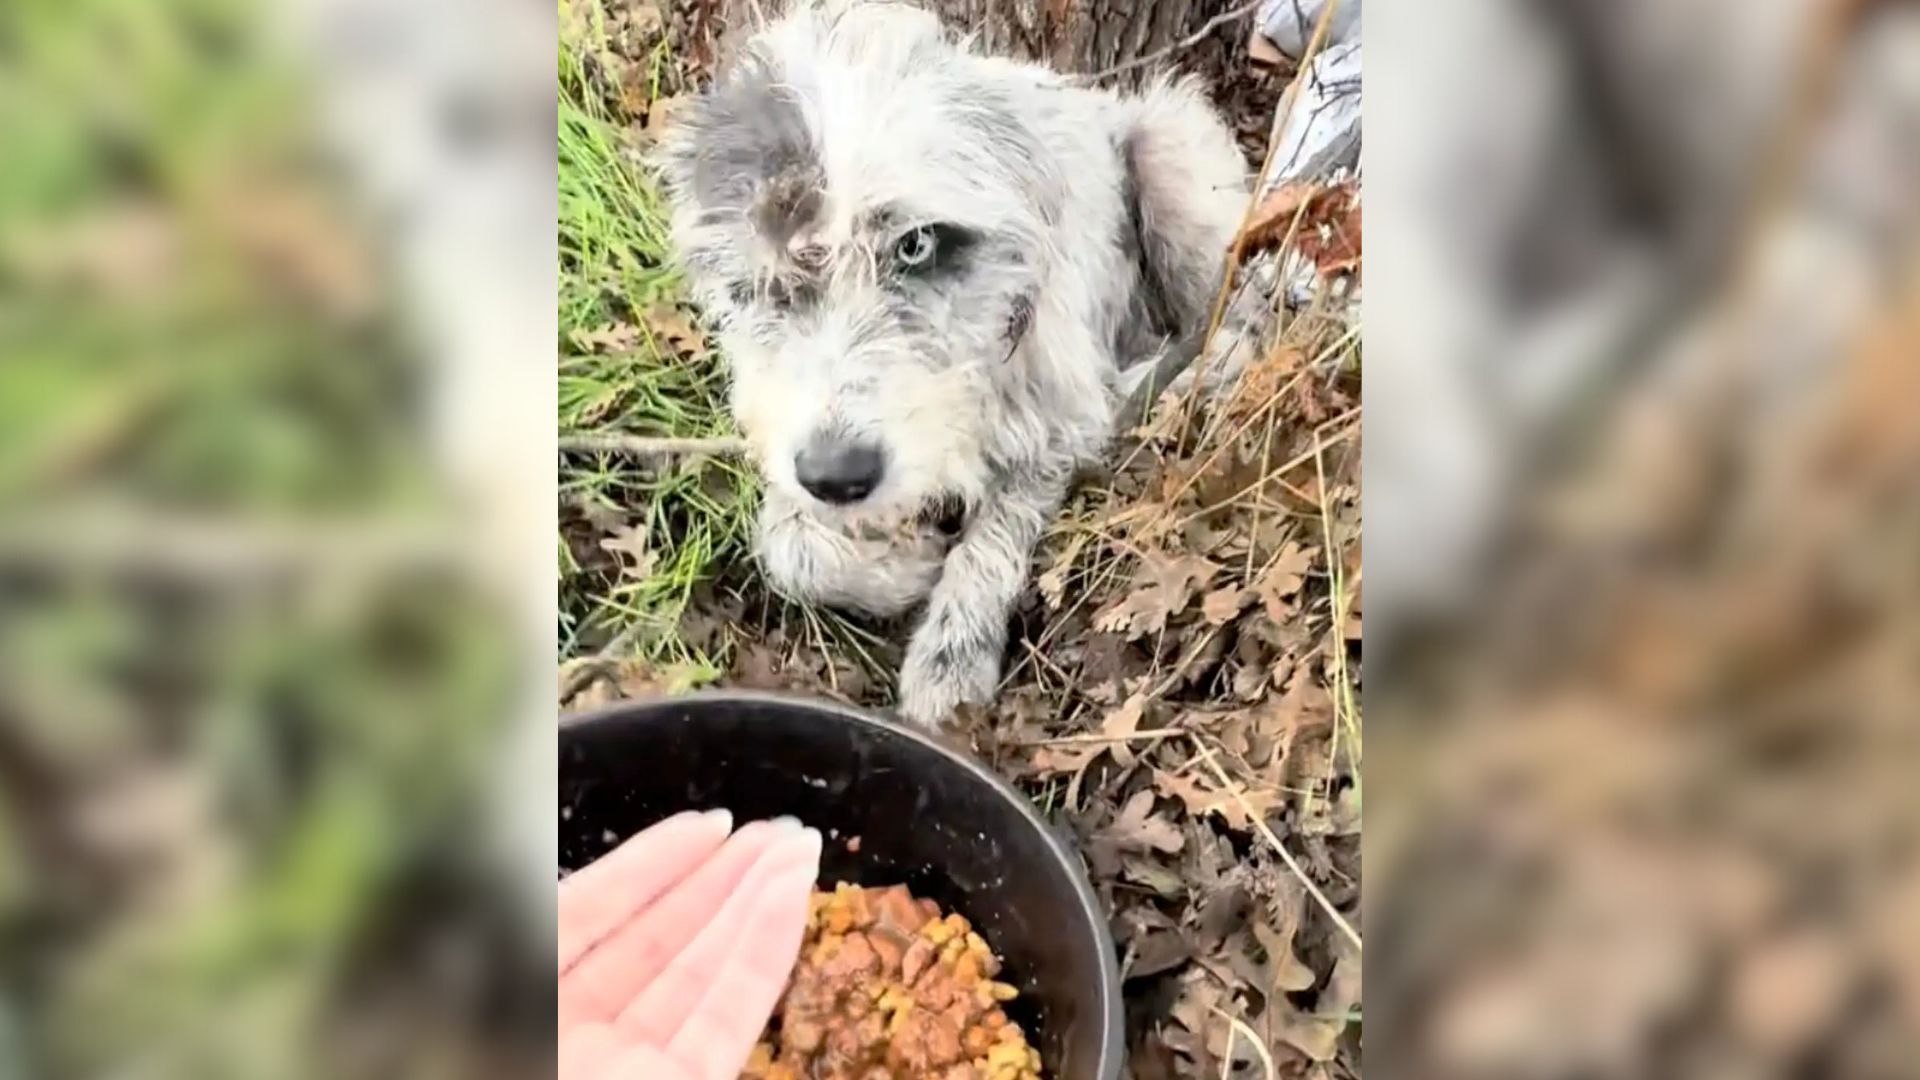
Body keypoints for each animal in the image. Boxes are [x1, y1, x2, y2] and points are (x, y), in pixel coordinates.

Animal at [668, 2, 1251, 722]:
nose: (839, 475)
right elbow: (785, 544)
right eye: (759, 279)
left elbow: (993, 538)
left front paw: (950, 662)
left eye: (916, 244)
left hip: (1170, 155)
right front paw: (901, 568)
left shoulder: (1057, 420)